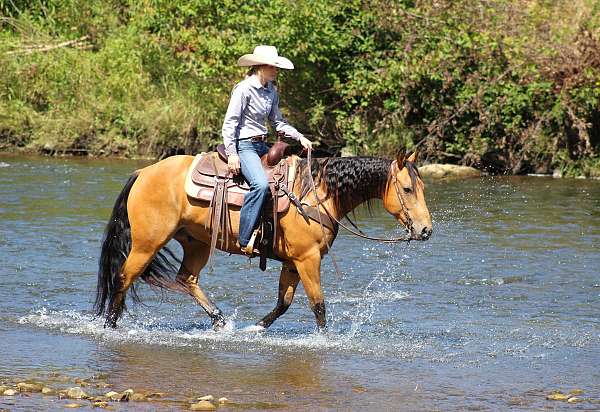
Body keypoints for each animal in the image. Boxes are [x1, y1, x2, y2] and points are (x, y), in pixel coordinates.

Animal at [95, 151, 432, 332]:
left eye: (423, 187)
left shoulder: (293, 263)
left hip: (196, 242)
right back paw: (110, 325)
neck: (316, 195)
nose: (426, 230)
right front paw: (325, 339)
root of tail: (143, 172)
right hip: (147, 243)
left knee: (186, 279)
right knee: (124, 276)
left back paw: (220, 321)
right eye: (407, 188)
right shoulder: (308, 259)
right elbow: (319, 305)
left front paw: (256, 327)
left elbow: (284, 303)